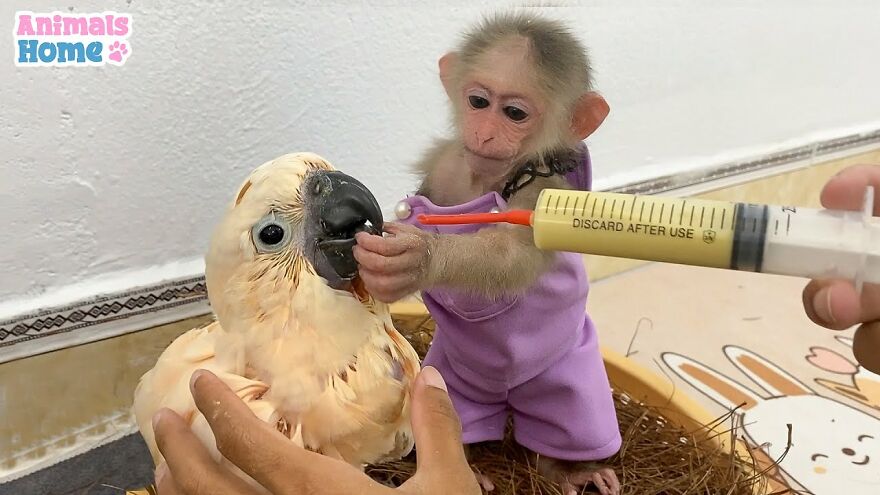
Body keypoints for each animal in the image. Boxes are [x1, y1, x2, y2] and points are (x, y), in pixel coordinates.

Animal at [354, 11, 621, 495]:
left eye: (514, 113)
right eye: (478, 102)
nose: (485, 131)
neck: (486, 179)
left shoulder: (541, 191)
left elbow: (510, 254)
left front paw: (418, 258)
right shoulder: (445, 164)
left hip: (570, 372)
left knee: (572, 417)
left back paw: (569, 470)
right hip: (453, 373)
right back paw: (472, 462)